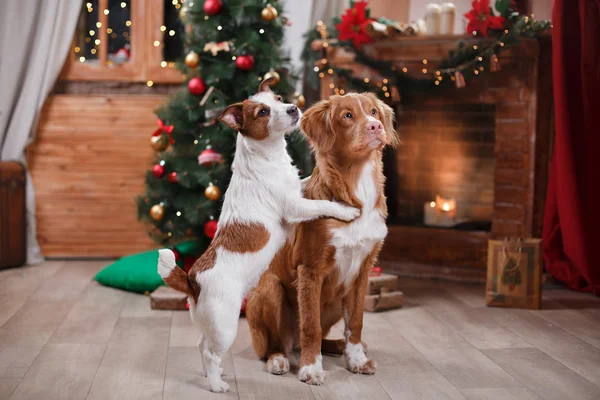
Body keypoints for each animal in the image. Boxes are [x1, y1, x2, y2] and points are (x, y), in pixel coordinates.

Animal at [157, 79, 358, 394]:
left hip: (210, 323)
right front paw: (345, 210)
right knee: (210, 352)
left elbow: (306, 183)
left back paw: (212, 375)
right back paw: (216, 385)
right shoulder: (295, 207)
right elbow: (321, 205)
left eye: (279, 99)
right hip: (226, 324)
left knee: (202, 344)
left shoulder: (297, 190)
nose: (293, 108)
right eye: (263, 112)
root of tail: (192, 279)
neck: (265, 156)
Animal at [246, 93, 400, 384]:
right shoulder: (310, 268)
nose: (375, 126)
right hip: (269, 289)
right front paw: (311, 368)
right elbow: (310, 326)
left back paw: (339, 346)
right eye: (347, 116)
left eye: (373, 111)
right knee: (276, 344)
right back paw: (279, 360)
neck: (356, 184)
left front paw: (356, 359)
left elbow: (356, 322)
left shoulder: (362, 271)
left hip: (336, 299)